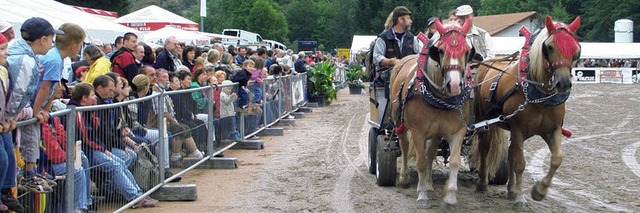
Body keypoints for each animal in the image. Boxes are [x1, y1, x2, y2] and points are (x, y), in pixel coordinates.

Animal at [388, 17, 472, 211]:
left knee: (431, 153)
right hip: (399, 123)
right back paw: (405, 179)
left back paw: (429, 184)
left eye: (467, 51)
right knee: (404, 147)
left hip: (435, 133)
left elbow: (453, 161)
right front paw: (422, 196)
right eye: (440, 51)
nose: (454, 85)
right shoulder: (418, 132)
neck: (441, 99)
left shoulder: (458, 131)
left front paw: (450, 198)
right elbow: (419, 161)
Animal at [470, 15, 580, 211]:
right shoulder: (518, 129)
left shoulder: (552, 130)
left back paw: (511, 190)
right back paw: (482, 184)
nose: (563, 83)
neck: (539, 95)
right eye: (549, 47)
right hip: (484, 120)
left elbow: (557, 158)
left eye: (575, 49)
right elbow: (520, 163)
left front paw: (539, 191)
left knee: (511, 153)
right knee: (485, 148)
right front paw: (521, 198)